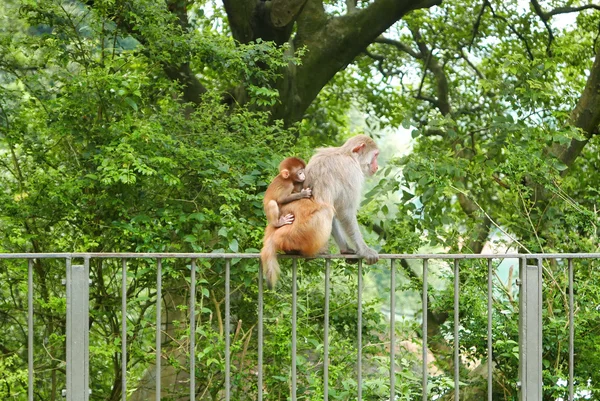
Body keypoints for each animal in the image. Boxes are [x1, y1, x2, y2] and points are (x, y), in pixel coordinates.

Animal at [262, 134, 380, 288]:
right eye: (375, 155)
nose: (377, 166)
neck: (347, 154)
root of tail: (275, 227)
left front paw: (345, 249)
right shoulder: (351, 172)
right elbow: (345, 212)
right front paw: (365, 250)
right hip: (298, 232)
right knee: (325, 211)